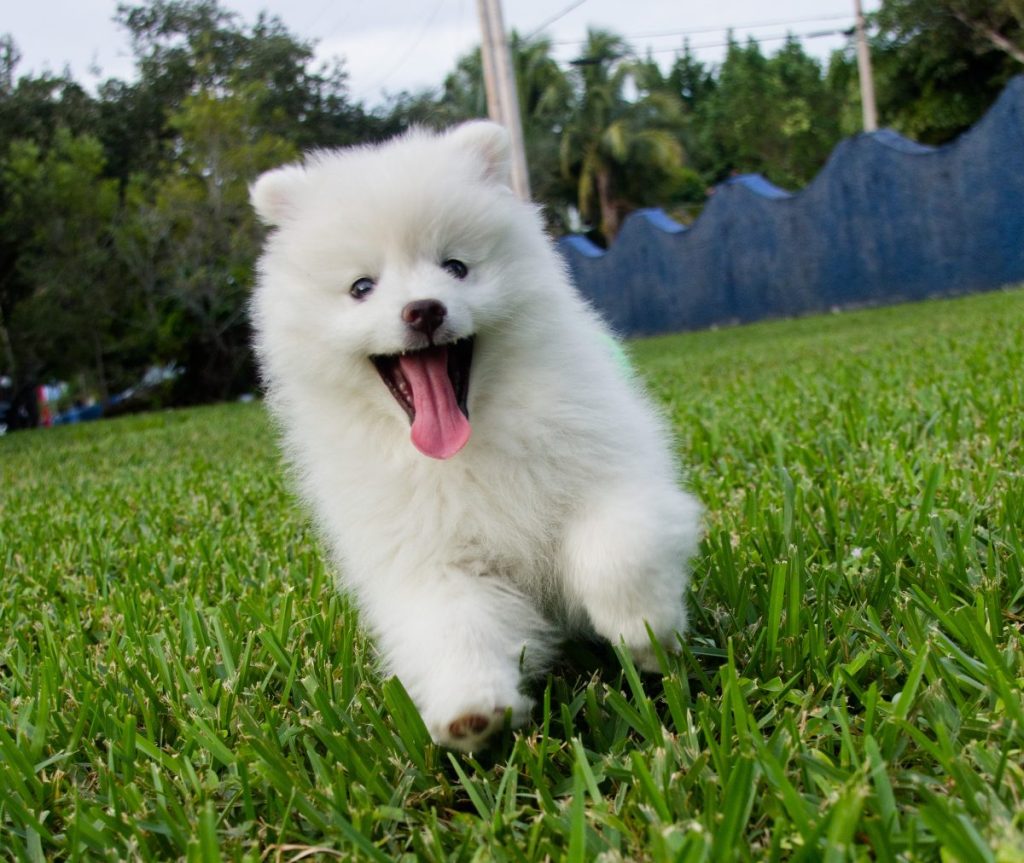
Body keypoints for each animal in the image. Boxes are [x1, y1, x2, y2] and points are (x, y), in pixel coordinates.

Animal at [249, 121, 704, 749]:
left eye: (456, 267)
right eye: (362, 287)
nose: (422, 309)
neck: (473, 439)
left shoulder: (617, 479)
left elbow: (613, 552)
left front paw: (645, 630)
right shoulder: (429, 554)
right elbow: (454, 622)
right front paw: (471, 708)